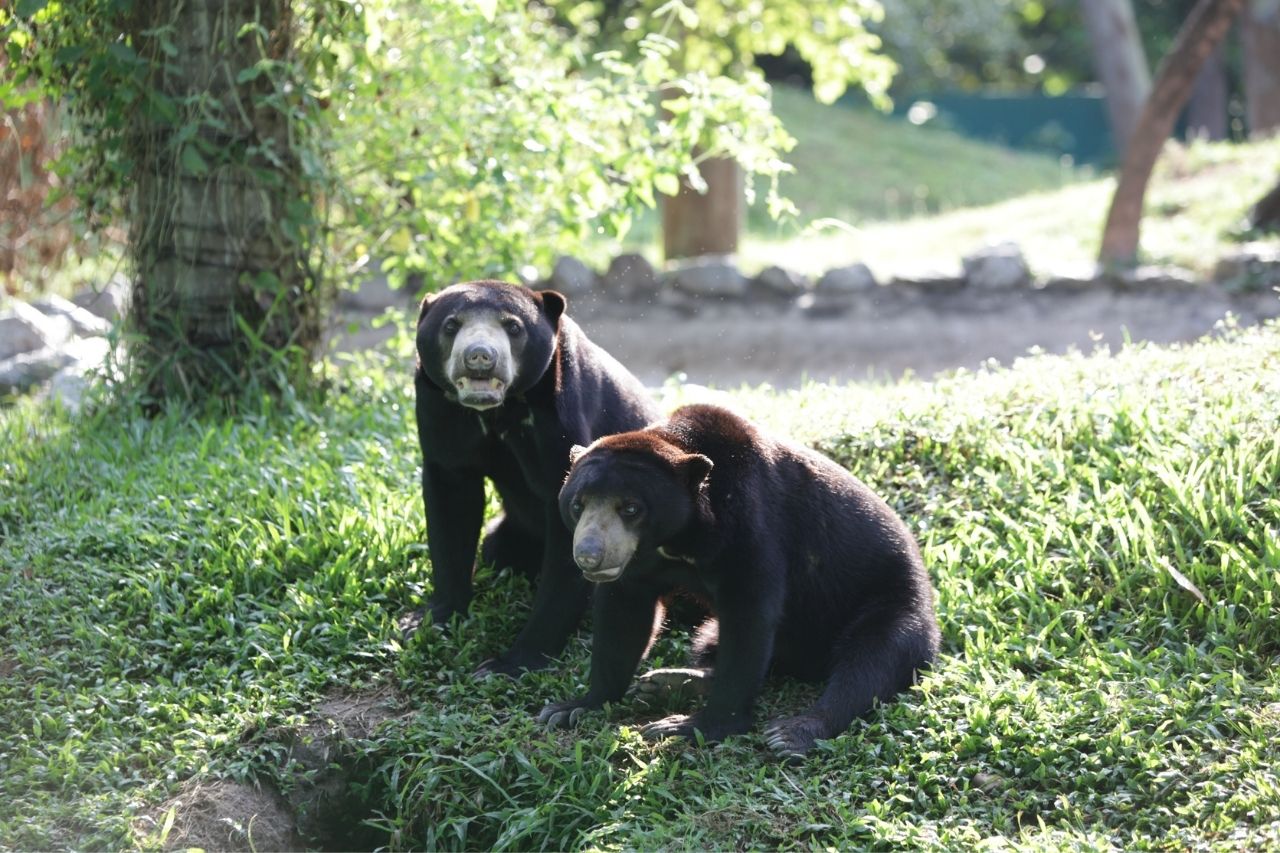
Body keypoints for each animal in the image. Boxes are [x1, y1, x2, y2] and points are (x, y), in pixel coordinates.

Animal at [414, 281, 660, 676]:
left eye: (513, 327)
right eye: (451, 325)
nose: (479, 356)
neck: (498, 409)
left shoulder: (561, 415)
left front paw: (509, 663)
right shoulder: (439, 409)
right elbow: (451, 499)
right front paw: (437, 618)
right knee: (496, 546)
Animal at [537, 402, 942, 753]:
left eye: (631, 508)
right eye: (577, 505)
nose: (589, 555)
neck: (681, 537)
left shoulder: (751, 528)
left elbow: (749, 618)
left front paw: (689, 726)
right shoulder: (641, 561)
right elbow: (624, 617)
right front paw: (572, 707)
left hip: (890, 604)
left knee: (871, 662)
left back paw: (792, 732)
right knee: (713, 644)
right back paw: (668, 681)